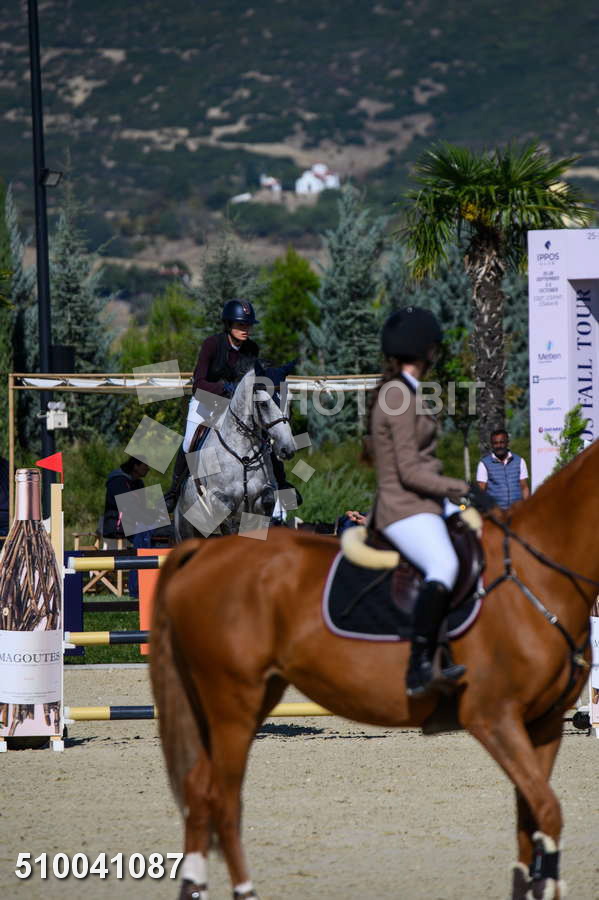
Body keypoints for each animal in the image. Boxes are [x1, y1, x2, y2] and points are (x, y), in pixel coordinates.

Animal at [150, 437, 598, 900]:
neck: (537, 574)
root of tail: (205, 551)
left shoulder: (542, 724)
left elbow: (532, 816)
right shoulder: (494, 718)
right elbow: (547, 809)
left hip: (239, 699)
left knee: (198, 788)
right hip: (231, 704)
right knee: (222, 798)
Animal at [174, 367, 296, 540]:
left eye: (289, 403)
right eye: (263, 404)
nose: (288, 449)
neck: (244, 453)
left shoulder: (265, 491)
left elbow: (267, 501)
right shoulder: (217, 496)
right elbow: (227, 510)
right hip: (185, 529)